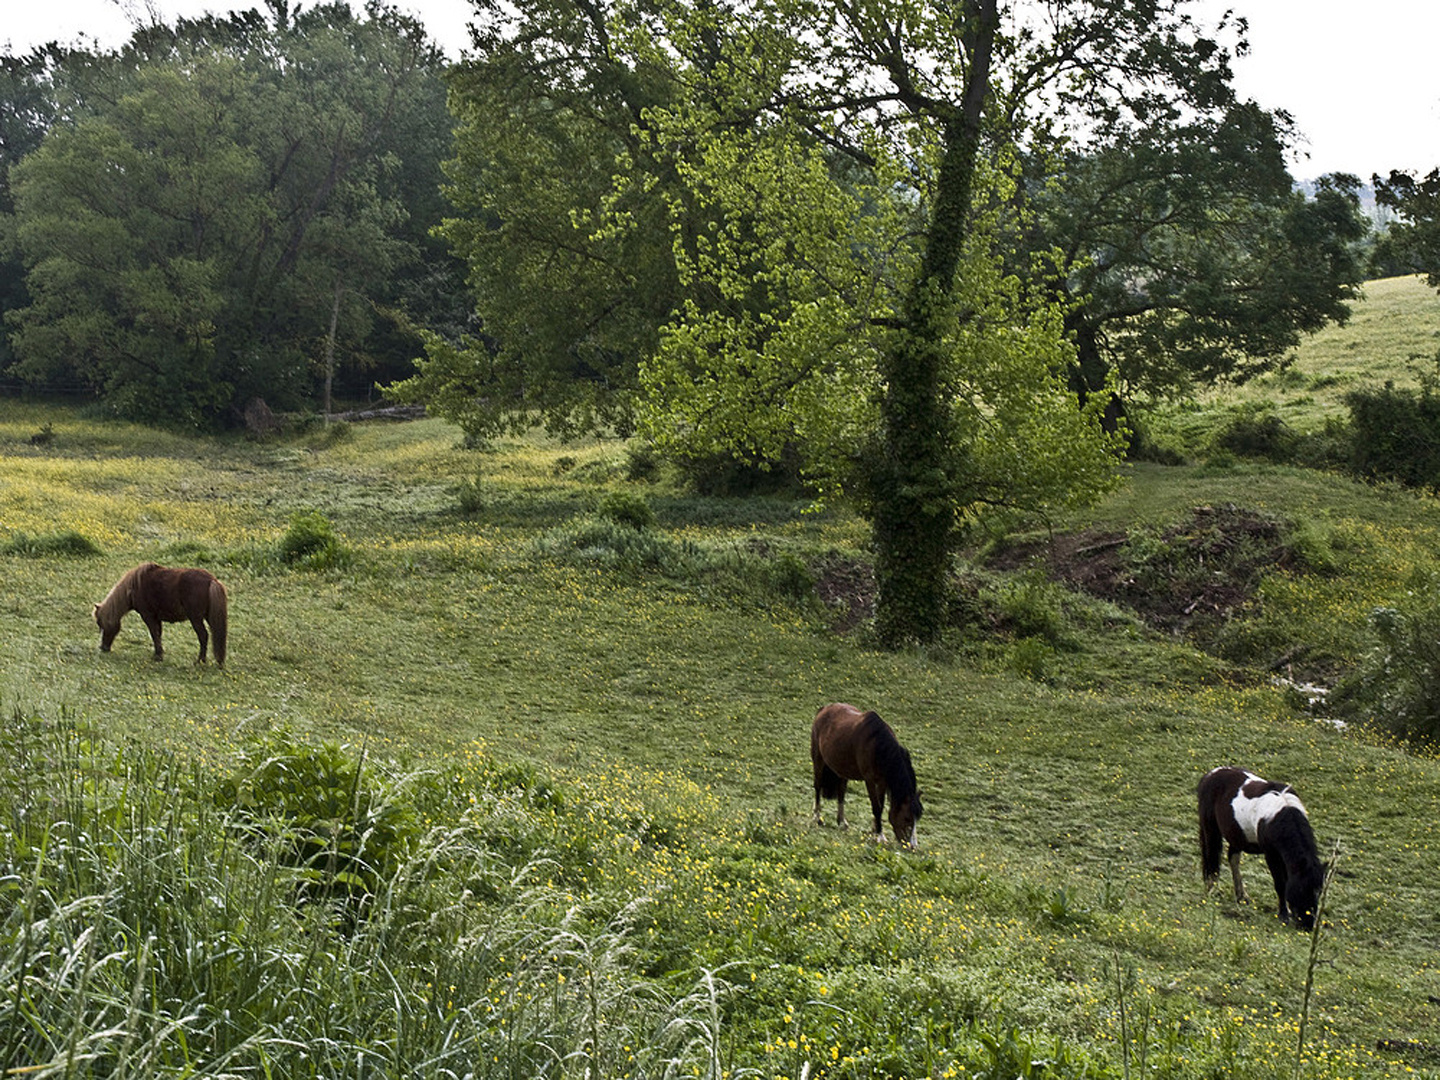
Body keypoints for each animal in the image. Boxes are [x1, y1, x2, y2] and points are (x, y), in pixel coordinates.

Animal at [93, 567, 227, 668]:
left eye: (101, 624)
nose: (103, 647)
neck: (135, 585)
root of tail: (211, 580)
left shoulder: (148, 616)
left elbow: (154, 634)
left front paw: (158, 656)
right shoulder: (157, 618)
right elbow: (158, 635)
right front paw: (159, 654)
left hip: (196, 619)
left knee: (203, 636)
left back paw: (200, 661)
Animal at [812, 705, 921, 852]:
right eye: (907, 818)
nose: (912, 846)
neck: (877, 745)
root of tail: (824, 709)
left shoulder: (882, 782)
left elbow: (880, 806)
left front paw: (874, 830)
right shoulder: (869, 780)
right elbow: (876, 807)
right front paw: (880, 835)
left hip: (842, 770)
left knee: (841, 793)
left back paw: (842, 821)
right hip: (818, 760)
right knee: (818, 787)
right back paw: (817, 817)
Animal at [1192, 771, 1324, 933]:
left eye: (1319, 891)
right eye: (1301, 888)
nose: (1308, 925)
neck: (1281, 814)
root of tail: (1209, 775)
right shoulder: (1271, 855)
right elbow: (1280, 884)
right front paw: (1283, 915)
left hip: (1236, 836)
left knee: (1232, 859)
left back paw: (1241, 896)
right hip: (1211, 829)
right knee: (1212, 859)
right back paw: (1212, 890)